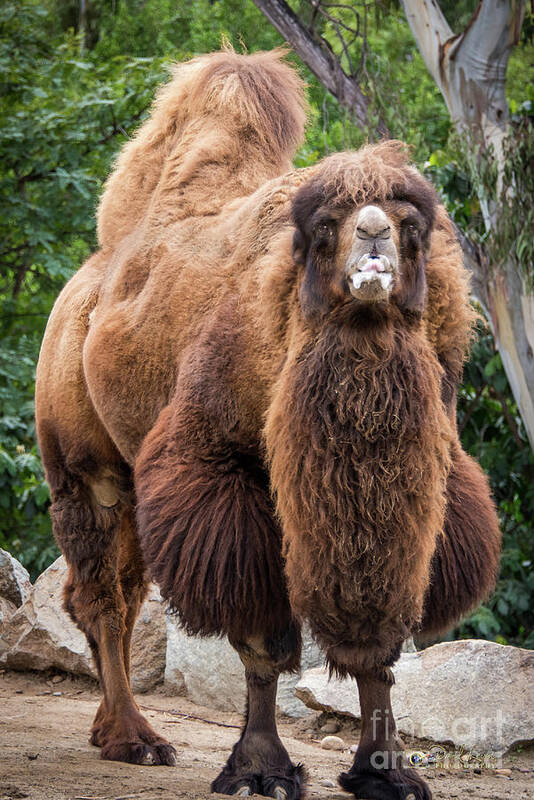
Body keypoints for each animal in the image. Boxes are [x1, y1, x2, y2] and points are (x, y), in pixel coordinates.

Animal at [36, 50, 502, 800]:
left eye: (411, 228)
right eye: (327, 227)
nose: (374, 235)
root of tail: (89, 279)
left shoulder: (425, 491)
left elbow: (380, 648)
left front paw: (387, 774)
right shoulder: (224, 470)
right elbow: (261, 633)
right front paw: (262, 770)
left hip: (130, 474)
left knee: (120, 591)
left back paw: (113, 734)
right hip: (87, 463)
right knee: (103, 592)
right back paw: (137, 739)